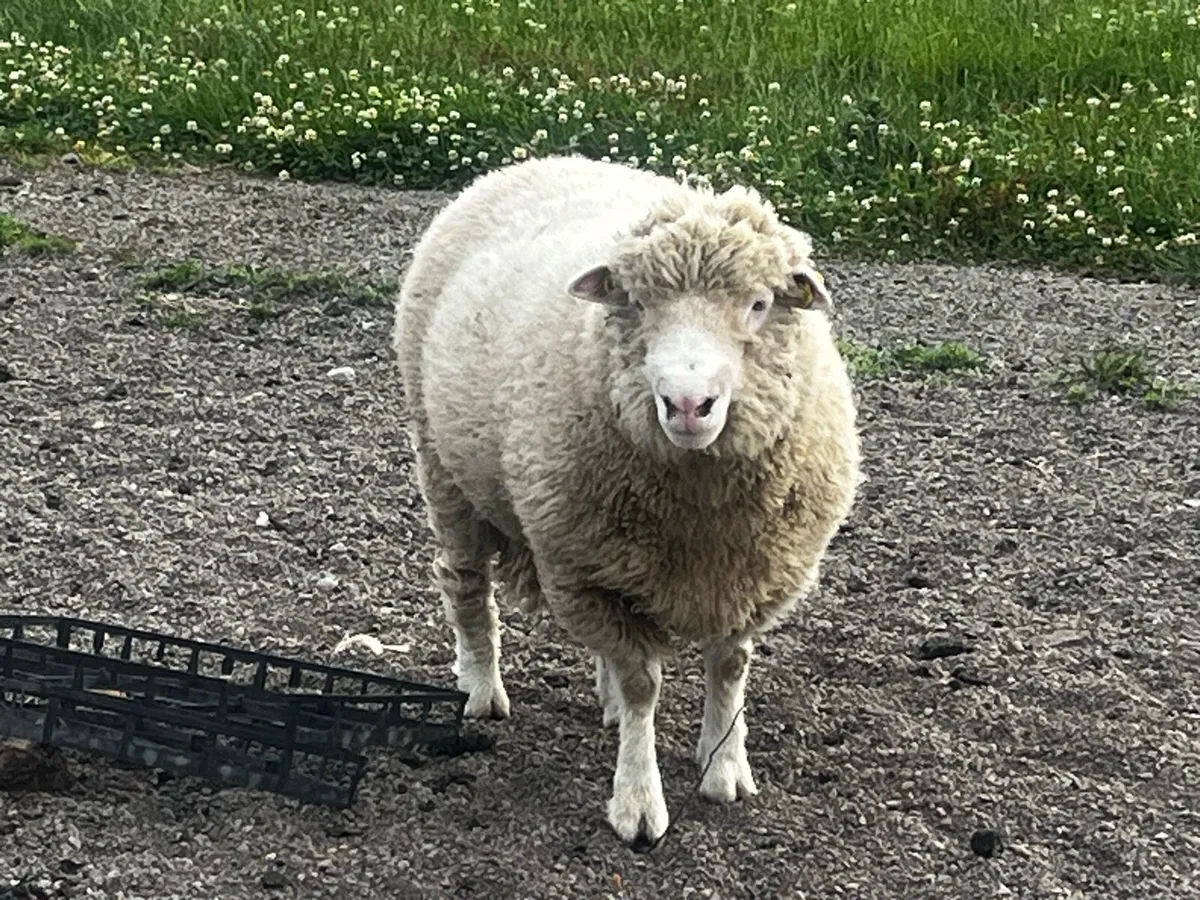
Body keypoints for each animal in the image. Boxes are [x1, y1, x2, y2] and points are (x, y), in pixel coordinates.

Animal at [392, 155, 860, 850]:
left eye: (758, 305)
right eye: (637, 304)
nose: (689, 404)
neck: (701, 509)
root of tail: (539, 159)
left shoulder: (749, 572)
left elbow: (729, 667)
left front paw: (724, 767)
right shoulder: (585, 573)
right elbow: (643, 685)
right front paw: (639, 803)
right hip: (447, 472)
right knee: (466, 583)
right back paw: (481, 686)